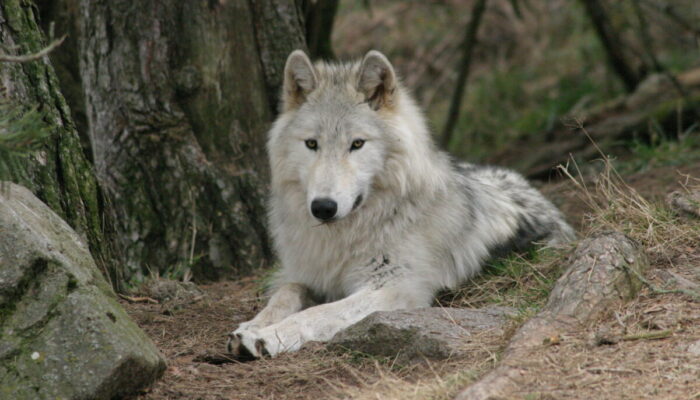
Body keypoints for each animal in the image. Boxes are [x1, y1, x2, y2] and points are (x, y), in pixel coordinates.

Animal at [227, 48, 572, 358]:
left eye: (357, 144)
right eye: (312, 144)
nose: (323, 207)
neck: (347, 236)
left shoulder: (396, 288)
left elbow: (318, 313)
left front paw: (271, 336)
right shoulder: (307, 275)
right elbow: (285, 294)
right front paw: (252, 327)